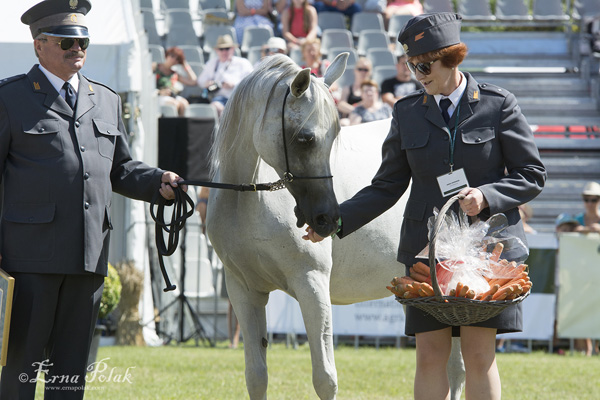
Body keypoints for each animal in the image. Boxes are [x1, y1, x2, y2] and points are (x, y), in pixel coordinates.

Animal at [206, 54, 464, 400]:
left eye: (333, 138)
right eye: (306, 138)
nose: (326, 217)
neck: (247, 199)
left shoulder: (312, 285)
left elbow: (325, 378)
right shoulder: (244, 291)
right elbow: (256, 376)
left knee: (457, 369)